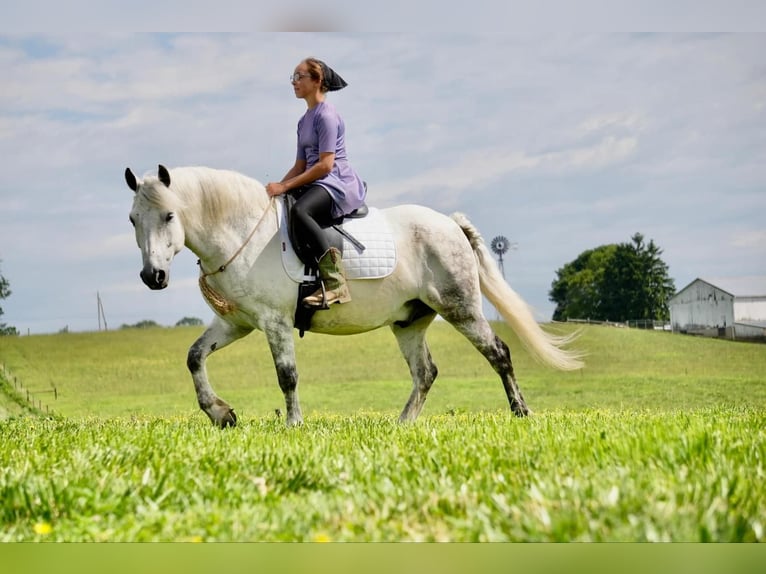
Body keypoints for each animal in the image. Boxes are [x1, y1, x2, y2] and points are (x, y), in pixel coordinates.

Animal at [124, 166, 584, 428]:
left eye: (169, 215)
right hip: (409, 321)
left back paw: (521, 412)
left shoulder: (274, 321)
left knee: (498, 353)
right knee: (426, 373)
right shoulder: (236, 323)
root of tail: (449, 224)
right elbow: (194, 357)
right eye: (132, 219)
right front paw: (220, 414)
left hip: (460, 308)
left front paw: (293, 424)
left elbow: (287, 375)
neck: (241, 232)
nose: (152, 276)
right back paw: (402, 423)